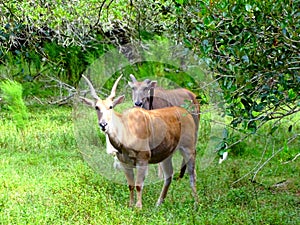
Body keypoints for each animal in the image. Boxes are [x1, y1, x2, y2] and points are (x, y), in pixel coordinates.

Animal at [79, 74, 198, 208]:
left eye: (111, 106)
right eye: (96, 107)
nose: (103, 124)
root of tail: (187, 113)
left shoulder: (143, 159)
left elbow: (138, 185)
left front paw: (138, 207)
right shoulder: (125, 163)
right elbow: (130, 185)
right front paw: (130, 205)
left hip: (188, 149)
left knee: (192, 174)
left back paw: (196, 203)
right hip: (166, 155)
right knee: (169, 175)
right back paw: (158, 204)